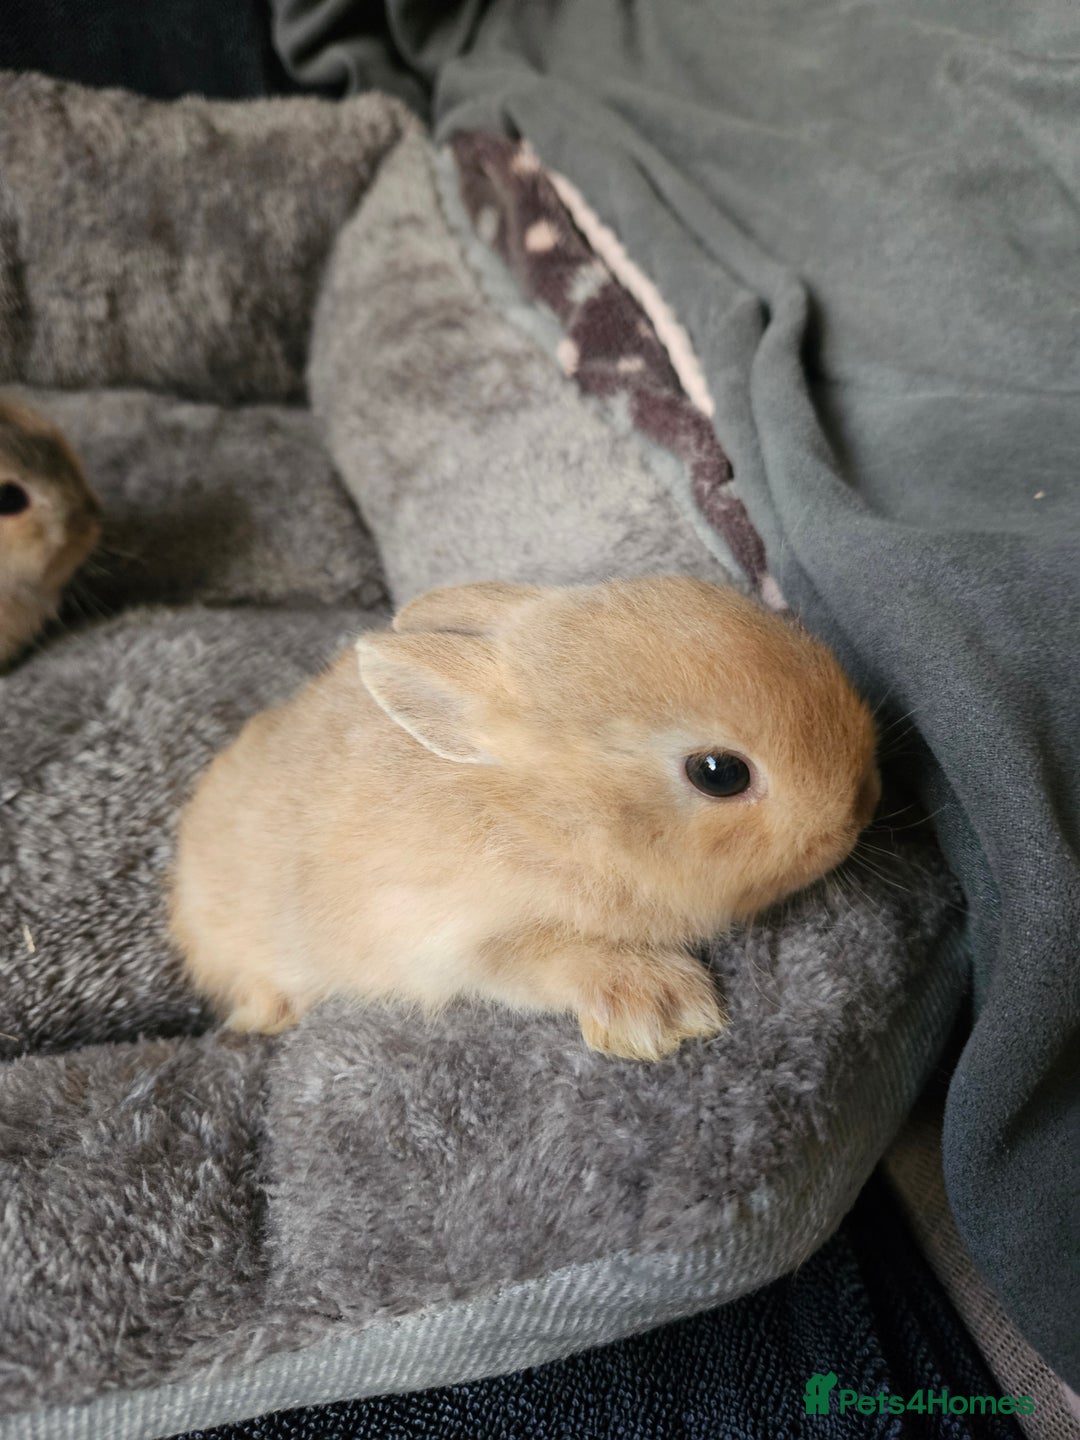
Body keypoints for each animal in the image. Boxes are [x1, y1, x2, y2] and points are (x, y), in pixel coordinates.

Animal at [170, 577, 880, 1061]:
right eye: (719, 773)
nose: (859, 808)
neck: (556, 817)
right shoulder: (472, 935)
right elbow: (562, 959)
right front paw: (664, 1012)